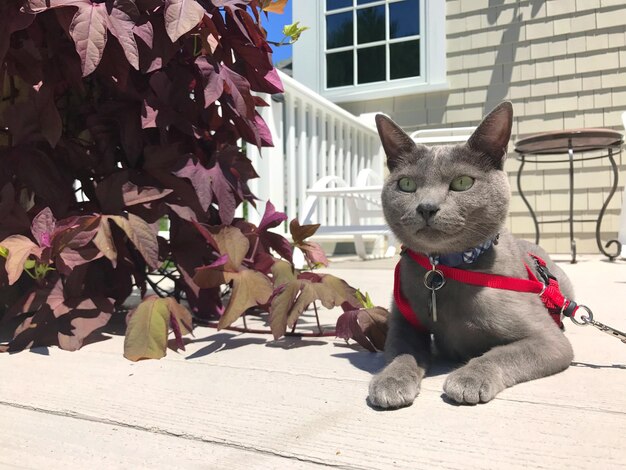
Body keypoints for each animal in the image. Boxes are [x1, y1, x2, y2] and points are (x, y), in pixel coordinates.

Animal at [368, 102, 572, 408]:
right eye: (406, 185)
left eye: (463, 182)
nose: (426, 207)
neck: (445, 269)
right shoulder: (404, 319)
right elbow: (402, 349)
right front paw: (391, 380)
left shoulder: (548, 339)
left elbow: (502, 353)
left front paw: (469, 379)